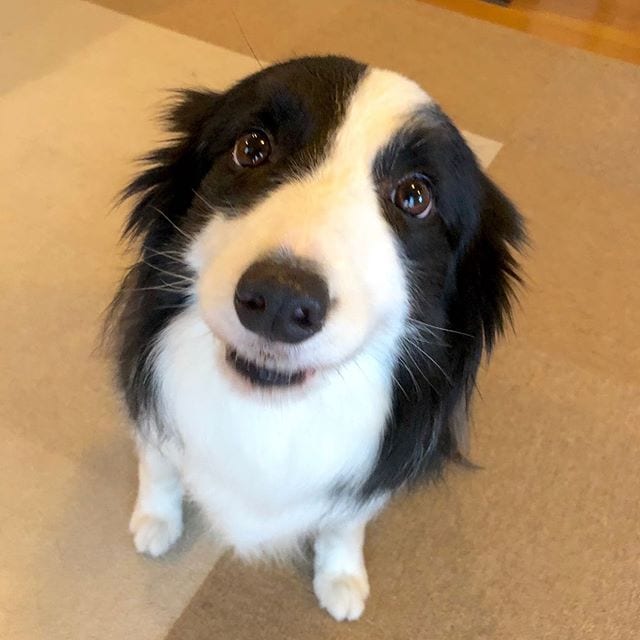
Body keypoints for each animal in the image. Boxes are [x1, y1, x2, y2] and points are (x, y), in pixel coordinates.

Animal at [106, 56, 524, 620]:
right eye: (251, 147)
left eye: (415, 197)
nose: (281, 302)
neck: (269, 418)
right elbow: (159, 464)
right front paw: (156, 520)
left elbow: (344, 524)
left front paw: (341, 577)